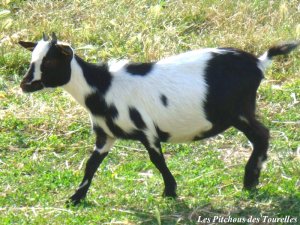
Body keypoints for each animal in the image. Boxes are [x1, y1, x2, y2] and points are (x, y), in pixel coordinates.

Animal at [18, 32, 298, 205]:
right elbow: (91, 164)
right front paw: (76, 197)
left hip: (239, 110)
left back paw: (250, 179)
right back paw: (251, 179)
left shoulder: (146, 130)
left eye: (50, 61)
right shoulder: (105, 135)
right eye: (32, 59)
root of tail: (259, 63)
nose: (25, 84)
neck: (103, 87)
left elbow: (157, 160)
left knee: (262, 135)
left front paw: (170, 191)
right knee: (261, 136)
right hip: (239, 112)